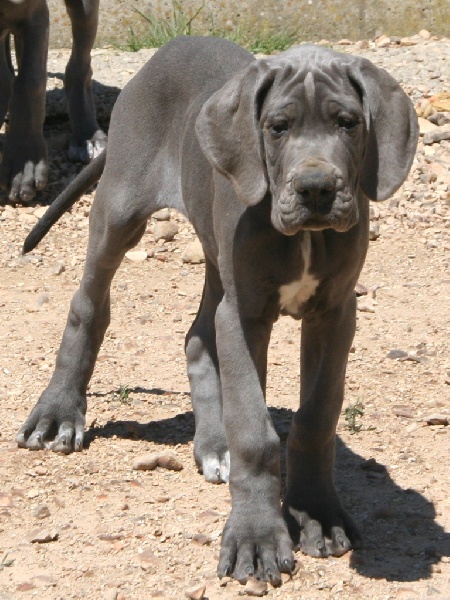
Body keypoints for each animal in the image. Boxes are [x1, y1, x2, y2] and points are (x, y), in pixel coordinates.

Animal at [0, 0, 106, 202]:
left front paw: (25, 165)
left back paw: (88, 137)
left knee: (80, 67)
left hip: (84, 9)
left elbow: (30, 82)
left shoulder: (31, 14)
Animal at [18, 36, 418, 584]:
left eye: (348, 122)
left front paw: (316, 513)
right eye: (278, 127)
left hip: (215, 255)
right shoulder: (245, 314)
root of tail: (164, 52)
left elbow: (317, 417)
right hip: (119, 208)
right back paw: (57, 414)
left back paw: (213, 445)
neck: (305, 238)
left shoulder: (334, 314)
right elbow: (253, 428)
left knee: (197, 338)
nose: (316, 189)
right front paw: (257, 537)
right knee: (88, 304)